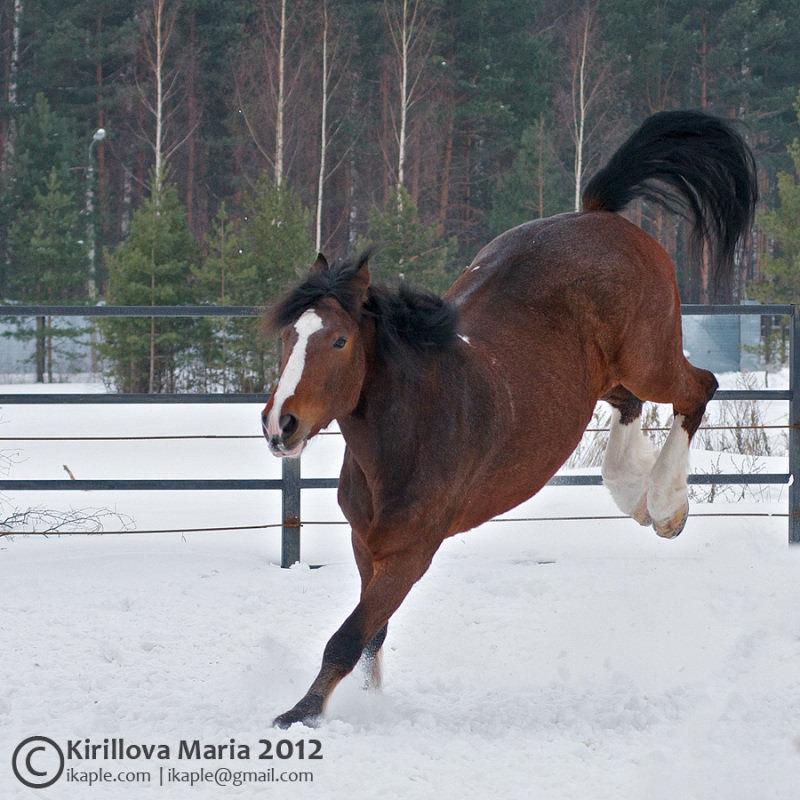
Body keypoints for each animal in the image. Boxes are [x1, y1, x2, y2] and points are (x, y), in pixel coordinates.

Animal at [260, 112, 756, 732]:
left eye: (339, 341)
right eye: (287, 334)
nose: (281, 426)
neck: (412, 430)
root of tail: (599, 214)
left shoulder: (410, 552)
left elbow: (348, 638)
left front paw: (299, 715)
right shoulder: (364, 543)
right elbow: (373, 638)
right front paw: (368, 706)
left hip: (649, 360)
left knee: (699, 388)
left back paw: (666, 507)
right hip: (603, 376)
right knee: (629, 407)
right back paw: (634, 494)